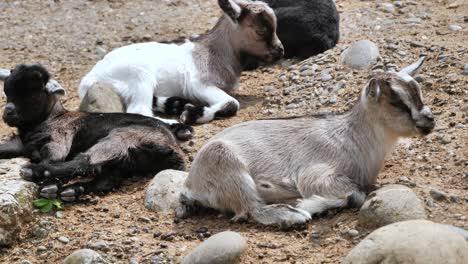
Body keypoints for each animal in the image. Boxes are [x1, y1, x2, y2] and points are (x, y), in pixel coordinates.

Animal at [0, 65, 190, 201]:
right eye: (7, 92)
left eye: (32, 95)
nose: (7, 112)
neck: (52, 117)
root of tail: (172, 148)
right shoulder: (21, 143)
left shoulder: (59, 136)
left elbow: (55, 157)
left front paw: (48, 180)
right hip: (123, 163)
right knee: (105, 180)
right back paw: (72, 190)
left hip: (120, 137)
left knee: (85, 162)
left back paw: (36, 173)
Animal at [79, 0, 286, 125]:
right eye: (261, 31)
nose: (280, 51)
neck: (213, 52)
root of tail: (88, 79)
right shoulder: (198, 85)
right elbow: (232, 103)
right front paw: (192, 115)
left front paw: (188, 109)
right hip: (140, 76)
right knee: (139, 111)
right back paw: (176, 124)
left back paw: (175, 105)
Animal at [176, 56, 436, 228]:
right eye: (397, 102)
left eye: (419, 93)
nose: (429, 121)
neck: (352, 137)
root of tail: (191, 183)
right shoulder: (317, 175)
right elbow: (355, 194)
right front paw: (304, 205)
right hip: (227, 164)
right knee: (249, 209)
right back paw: (292, 215)